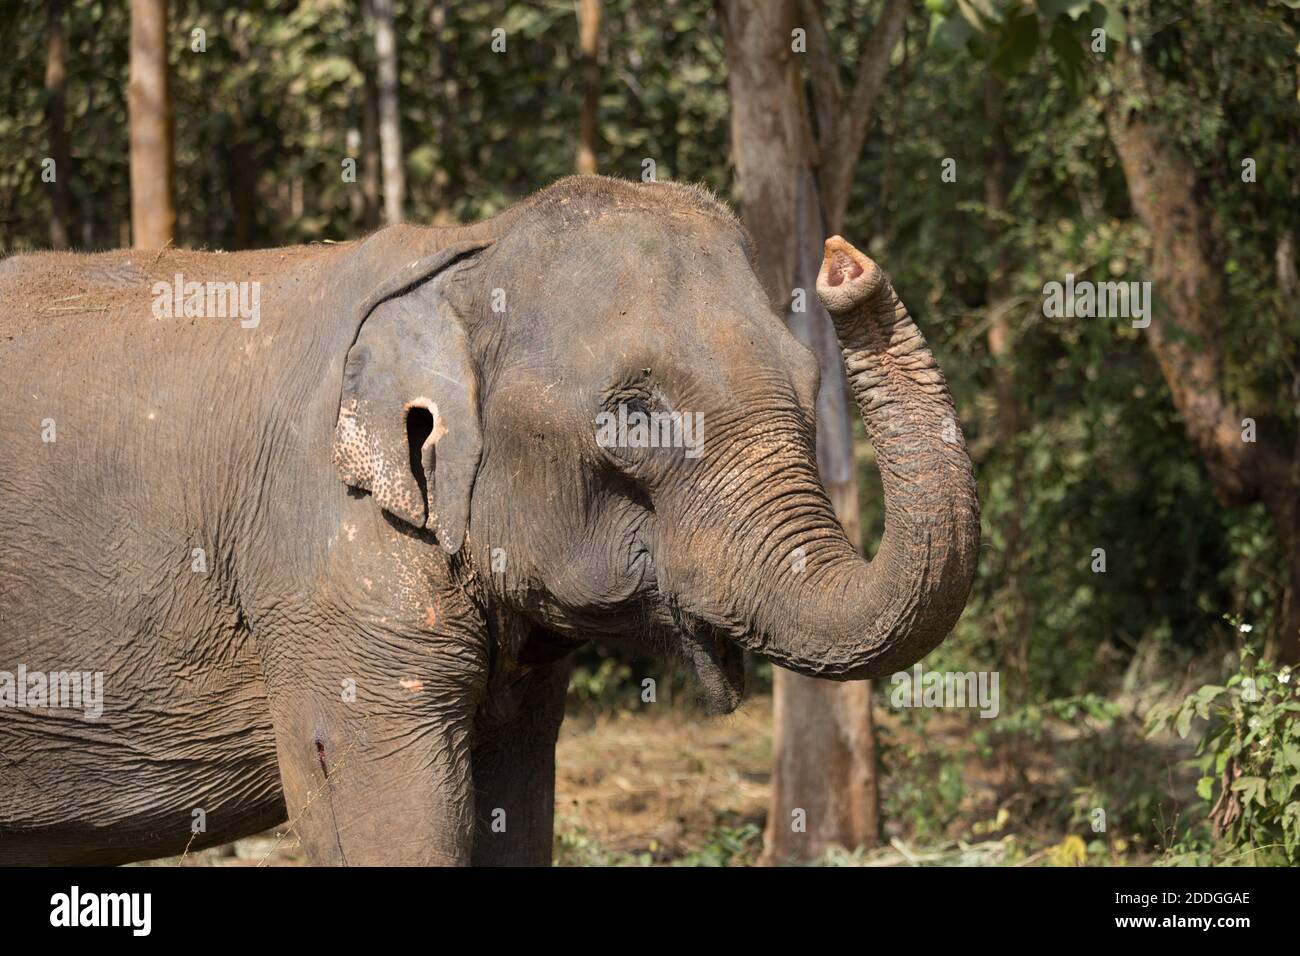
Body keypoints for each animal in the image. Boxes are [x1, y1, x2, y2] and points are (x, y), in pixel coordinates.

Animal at [0, 178, 977, 868]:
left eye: (810, 389)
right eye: (635, 416)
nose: (845, 265)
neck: (463, 258)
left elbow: (514, 808)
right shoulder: (326, 576)